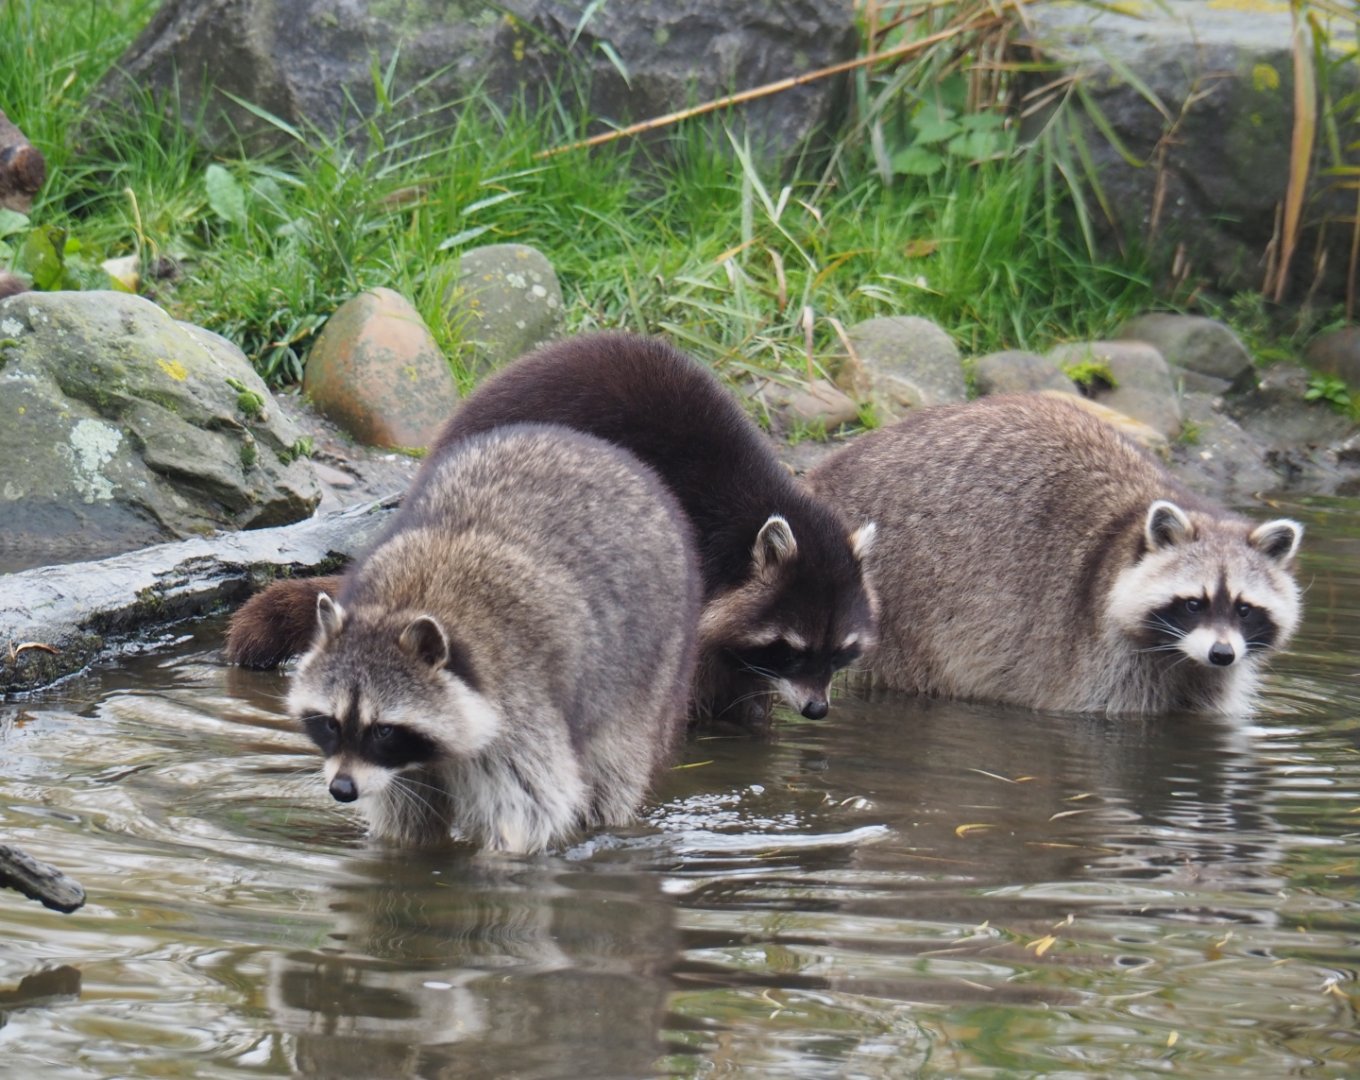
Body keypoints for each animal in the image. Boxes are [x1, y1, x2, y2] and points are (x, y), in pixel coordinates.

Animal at [285, 423, 700, 853]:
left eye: (383, 729)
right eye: (330, 723)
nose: (342, 789)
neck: (401, 606)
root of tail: (586, 442)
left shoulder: (520, 705)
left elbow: (529, 812)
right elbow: (405, 817)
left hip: (653, 668)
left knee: (614, 771)